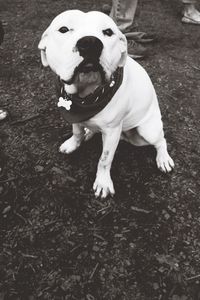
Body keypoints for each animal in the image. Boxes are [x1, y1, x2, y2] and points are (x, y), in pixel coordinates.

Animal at [38, 9, 174, 199]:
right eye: (63, 29)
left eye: (108, 32)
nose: (90, 42)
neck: (86, 96)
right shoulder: (75, 116)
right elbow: (76, 132)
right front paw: (73, 143)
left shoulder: (111, 132)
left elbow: (104, 159)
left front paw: (103, 183)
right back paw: (88, 132)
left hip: (147, 131)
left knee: (161, 140)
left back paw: (163, 159)